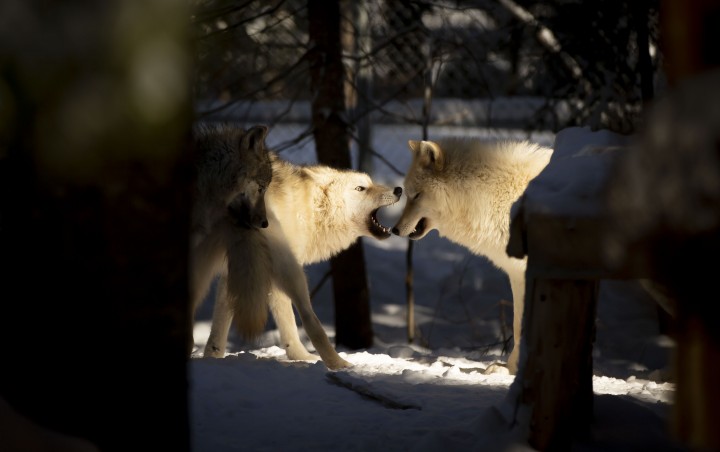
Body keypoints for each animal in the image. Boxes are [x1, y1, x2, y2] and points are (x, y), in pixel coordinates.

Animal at [194, 152, 402, 370]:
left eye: (371, 183)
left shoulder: (236, 268)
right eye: (360, 188)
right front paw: (301, 357)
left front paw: (212, 356)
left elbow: (221, 320)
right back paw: (339, 363)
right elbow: (291, 323)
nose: (398, 189)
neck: (309, 208)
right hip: (290, 269)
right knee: (310, 319)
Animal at [394, 138, 552, 374]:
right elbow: (518, 325)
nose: (394, 230)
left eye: (416, 195)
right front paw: (511, 370)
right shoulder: (518, 274)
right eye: (407, 195)